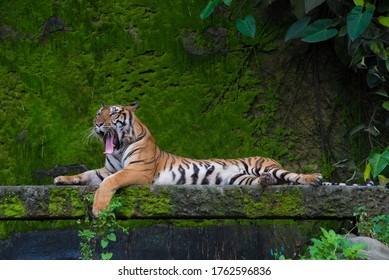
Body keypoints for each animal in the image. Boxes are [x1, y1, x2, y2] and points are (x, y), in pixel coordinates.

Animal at [53, 101, 322, 215]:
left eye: (114, 113)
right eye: (99, 114)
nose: (98, 125)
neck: (118, 149)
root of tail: (269, 160)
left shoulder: (136, 171)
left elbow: (110, 183)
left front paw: (98, 208)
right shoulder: (107, 170)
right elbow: (86, 173)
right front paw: (62, 179)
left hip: (267, 167)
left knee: (292, 176)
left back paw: (315, 178)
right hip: (236, 179)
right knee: (269, 180)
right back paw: (266, 182)